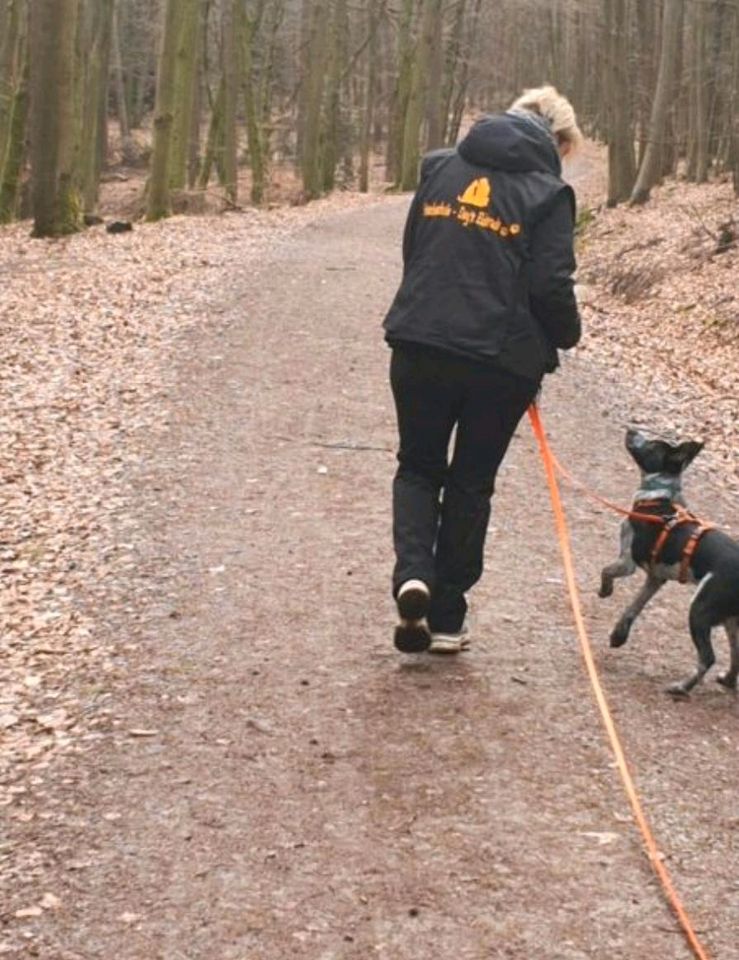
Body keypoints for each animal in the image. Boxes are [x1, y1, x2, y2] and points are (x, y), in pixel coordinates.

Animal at [600, 430, 739, 696]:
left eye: (652, 445)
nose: (632, 429)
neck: (659, 497)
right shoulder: (656, 578)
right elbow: (633, 608)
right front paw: (618, 636)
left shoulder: (627, 562)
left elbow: (606, 571)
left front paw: (605, 591)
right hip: (730, 620)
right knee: (735, 653)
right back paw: (727, 680)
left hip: (699, 610)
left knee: (707, 658)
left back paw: (681, 687)